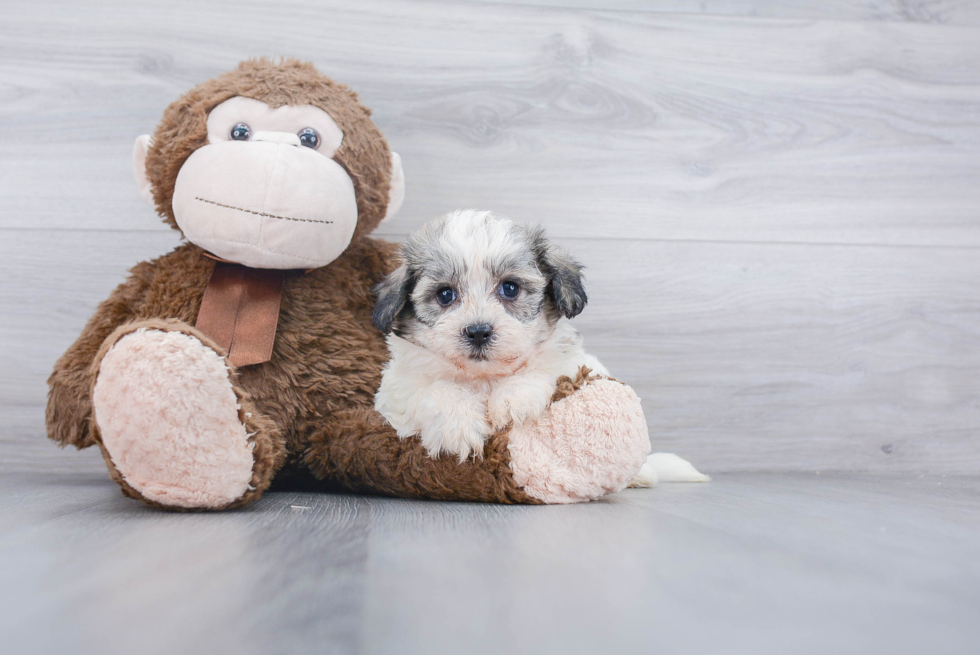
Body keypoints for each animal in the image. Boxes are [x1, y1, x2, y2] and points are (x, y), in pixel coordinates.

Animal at [374, 210, 608, 462]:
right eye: (445, 294)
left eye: (510, 288)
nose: (478, 332)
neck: (483, 377)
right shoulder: (397, 388)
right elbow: (435, 389)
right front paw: (458, 423)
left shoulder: (576, 362)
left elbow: (548, 366)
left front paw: (512, 397)